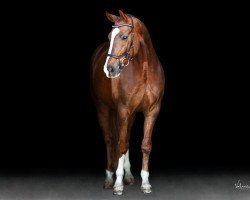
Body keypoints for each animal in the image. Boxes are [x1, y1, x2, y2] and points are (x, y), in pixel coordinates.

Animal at [91, 10, 165, 195]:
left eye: (124, 37)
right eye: (109, 37)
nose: (109, 69)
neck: (145, 71)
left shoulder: (152, 110)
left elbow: (145, 145)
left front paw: (145, 182)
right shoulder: (123, 110)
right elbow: (121, 145)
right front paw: (118, 184)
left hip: (129, 116)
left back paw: (129, 175)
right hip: (103, 109)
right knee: (110, 140)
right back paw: (109, 177)